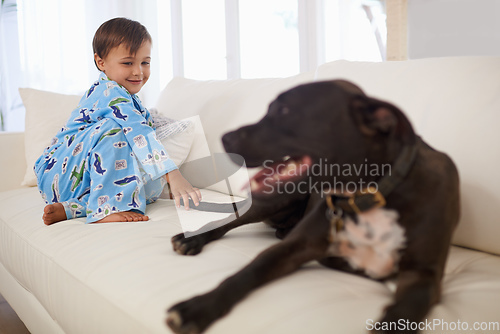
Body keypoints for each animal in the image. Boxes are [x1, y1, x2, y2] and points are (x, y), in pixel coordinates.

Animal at [166, 79, 458, 332]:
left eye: (284, 110)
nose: (224, 137)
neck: (370, 195)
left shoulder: (423, 275)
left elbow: (405, 311)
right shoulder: (293, 248)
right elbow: (247, 271)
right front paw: (199, 307)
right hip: (276, 198)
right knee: (229, 221)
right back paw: (193, 239)